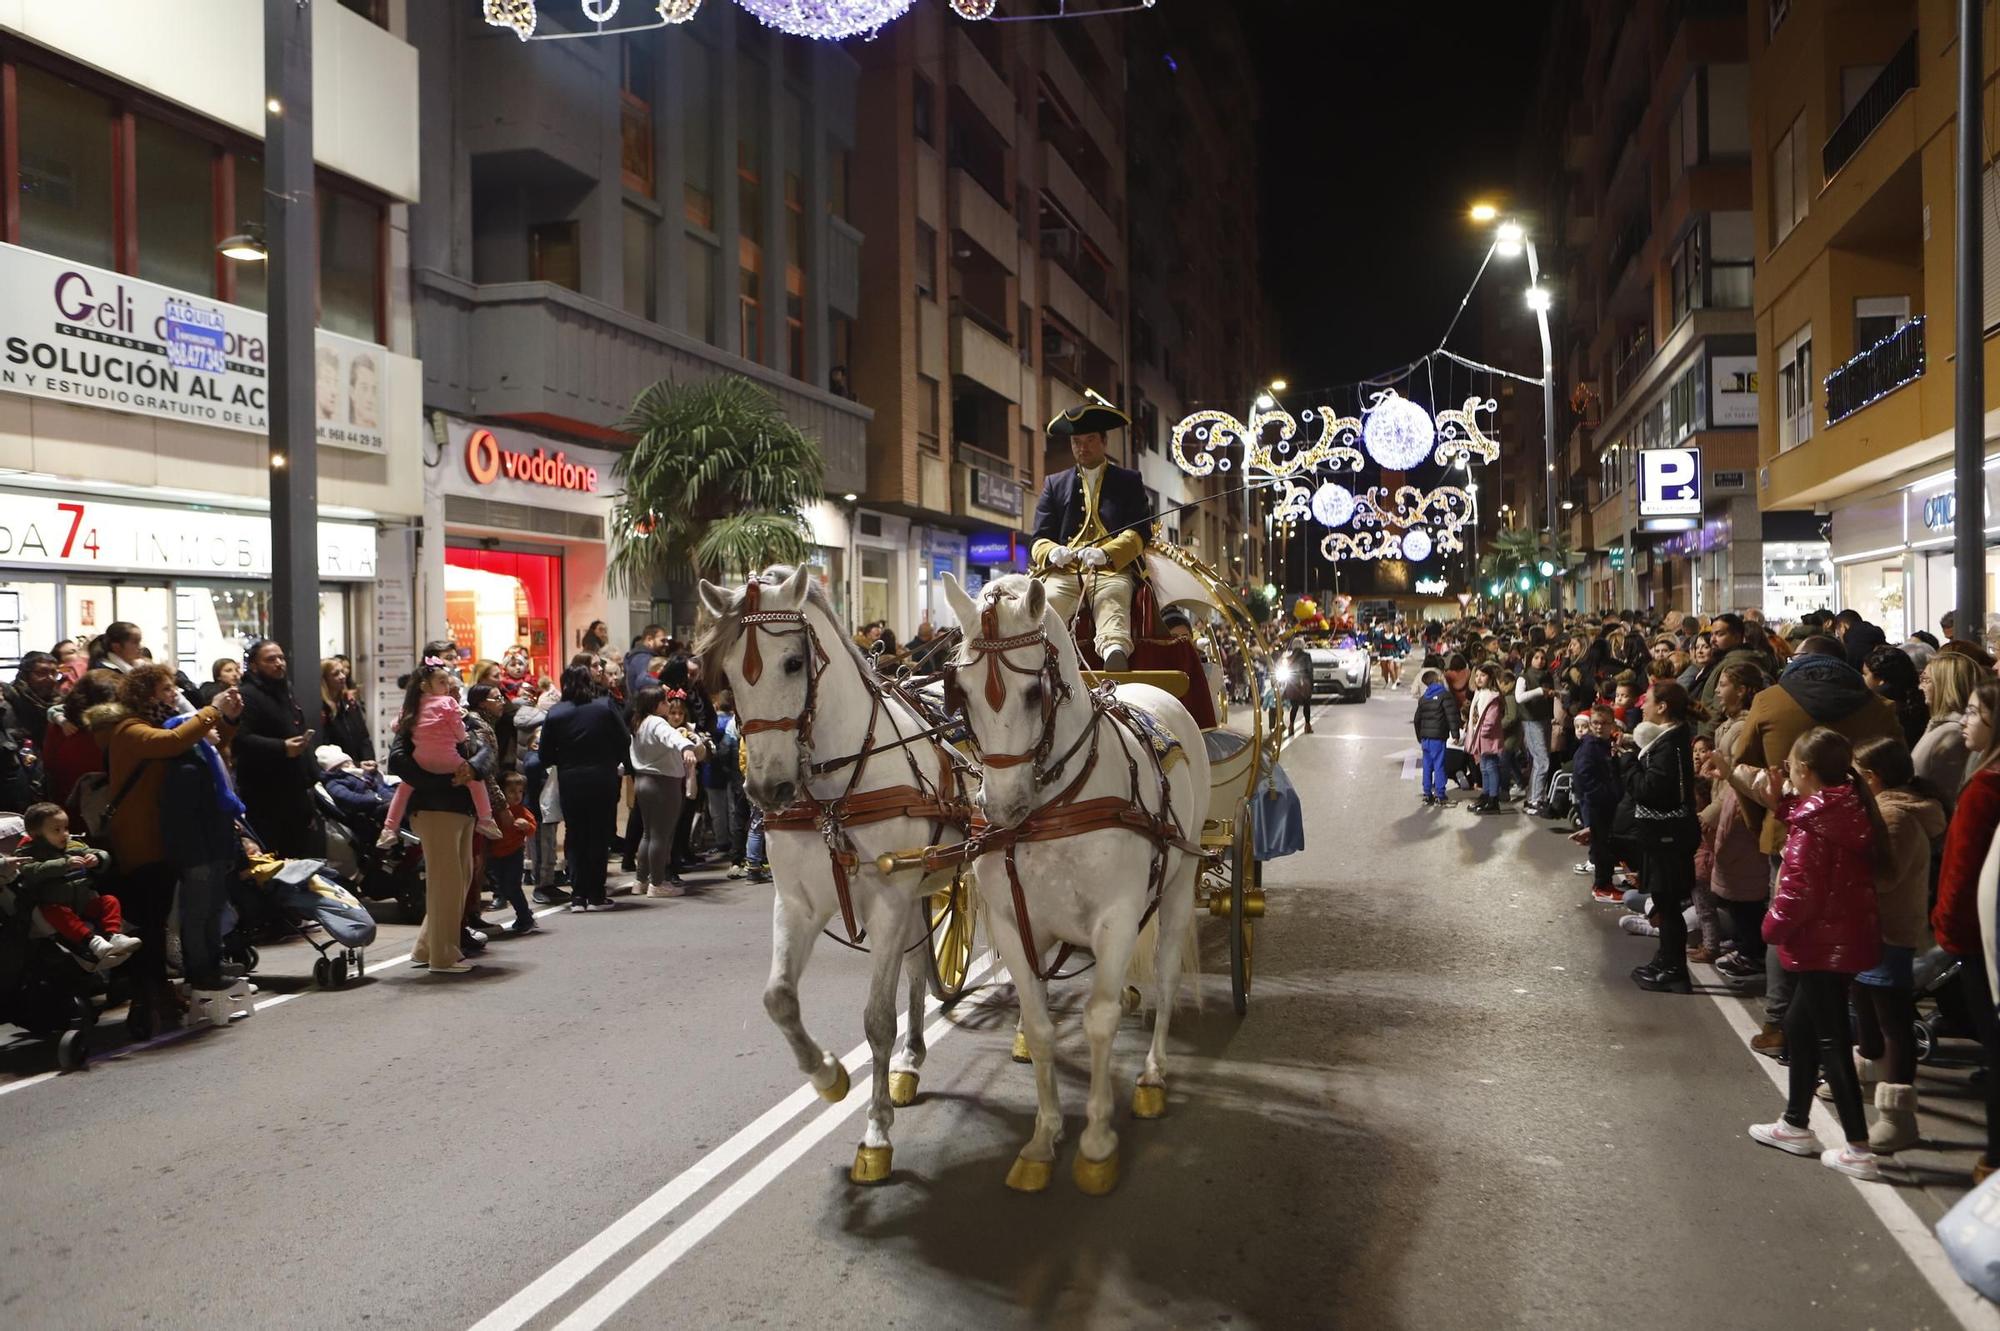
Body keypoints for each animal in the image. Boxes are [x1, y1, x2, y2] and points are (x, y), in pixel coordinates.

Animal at [700, 563, 972, 1175]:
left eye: (792, 663)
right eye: (727, 672)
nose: (766, 788)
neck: (834, 790)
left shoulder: (889, 899)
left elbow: (876, 1019)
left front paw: (875, 1134)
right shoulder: (800, 902)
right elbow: (778, 998)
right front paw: (828, 1076)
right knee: (918, 963)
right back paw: (910, 1062)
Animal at [944, 571, 1208, 1191]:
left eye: (1033, 694)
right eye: (959, 692)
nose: (1002, 806)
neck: (1054, 807)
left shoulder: (1114, 921)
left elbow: (1099, 1018)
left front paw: (1096, 1140)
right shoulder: (1014, 925)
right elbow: (1040, 1026)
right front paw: (1043, 1139)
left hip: (1180, 883)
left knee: (1165, 975)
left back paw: (1154, 1074)